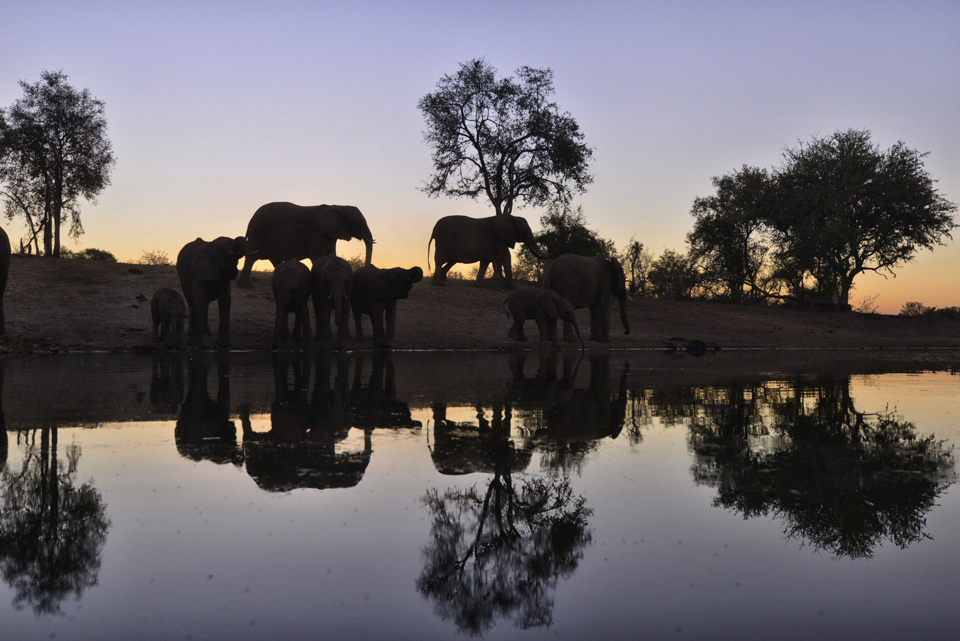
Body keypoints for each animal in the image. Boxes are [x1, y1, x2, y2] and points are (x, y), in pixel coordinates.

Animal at [238, 202, 374, 288]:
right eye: (358, 223)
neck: (338, 206)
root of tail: (251, 220)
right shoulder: (315, 233)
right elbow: (318, 256)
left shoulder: (329, 233)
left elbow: (331, 254)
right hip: (258, 232)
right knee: (251, 258)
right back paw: (246, 287)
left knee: (275, 260)